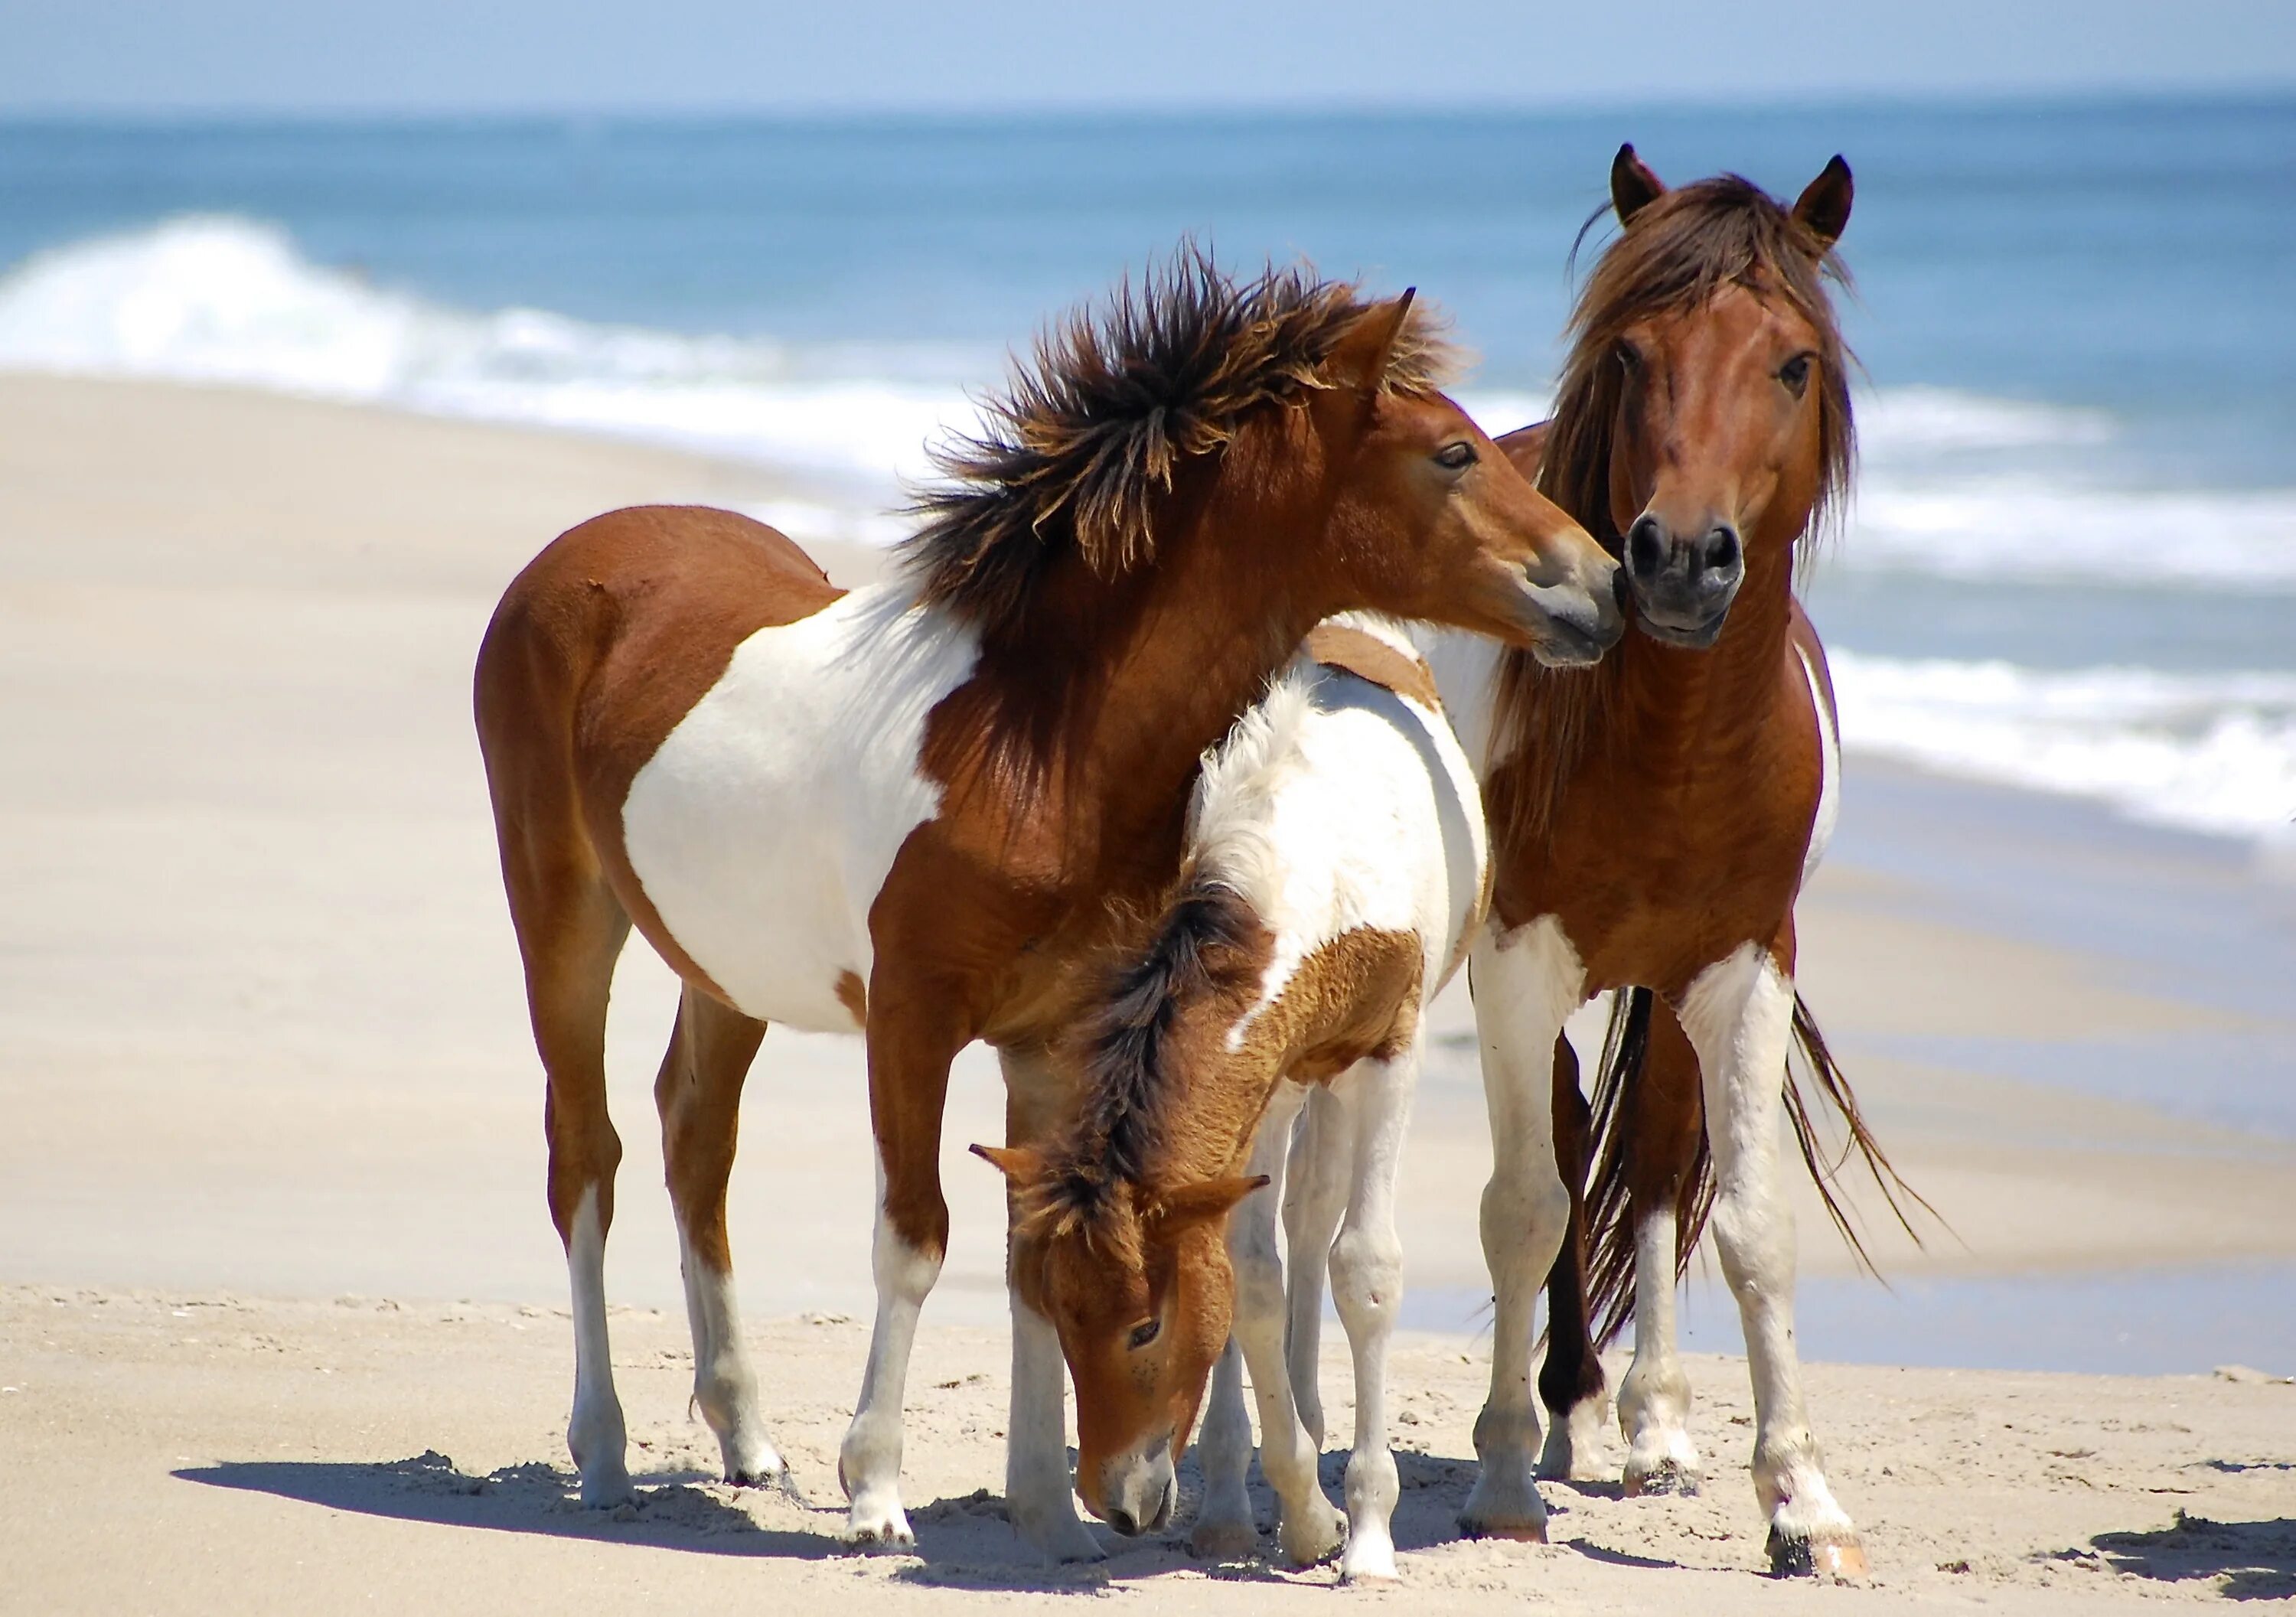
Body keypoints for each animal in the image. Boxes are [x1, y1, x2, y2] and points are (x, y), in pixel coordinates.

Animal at [471, 259, 1616, 1561]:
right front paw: (875, 1492)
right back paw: (606, 1452)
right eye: (1453, 454)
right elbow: (916, 1236)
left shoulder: (1055, 1033)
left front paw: (1040, 1504)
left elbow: (1030, 1247)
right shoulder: (910, 1021)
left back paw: (747, 1435)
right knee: (587, 1158)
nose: (1604, 586)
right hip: (563, 915)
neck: (1034, 747)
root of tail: (571, 555)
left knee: (694, 1140)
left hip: (725, 969)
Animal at [1414, 148, 1919, 1561]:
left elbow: (1749, 1221)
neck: (1674, 745)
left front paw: (1799, 1499)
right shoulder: (1519, 961)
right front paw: (1501, 1470)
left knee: (1640, 1153)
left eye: (1792, 363)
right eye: (1633, 355)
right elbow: (1524, 1204)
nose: (1680, 560)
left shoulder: (1741, 967)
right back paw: (1558, 1410)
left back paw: (1644, 1421)